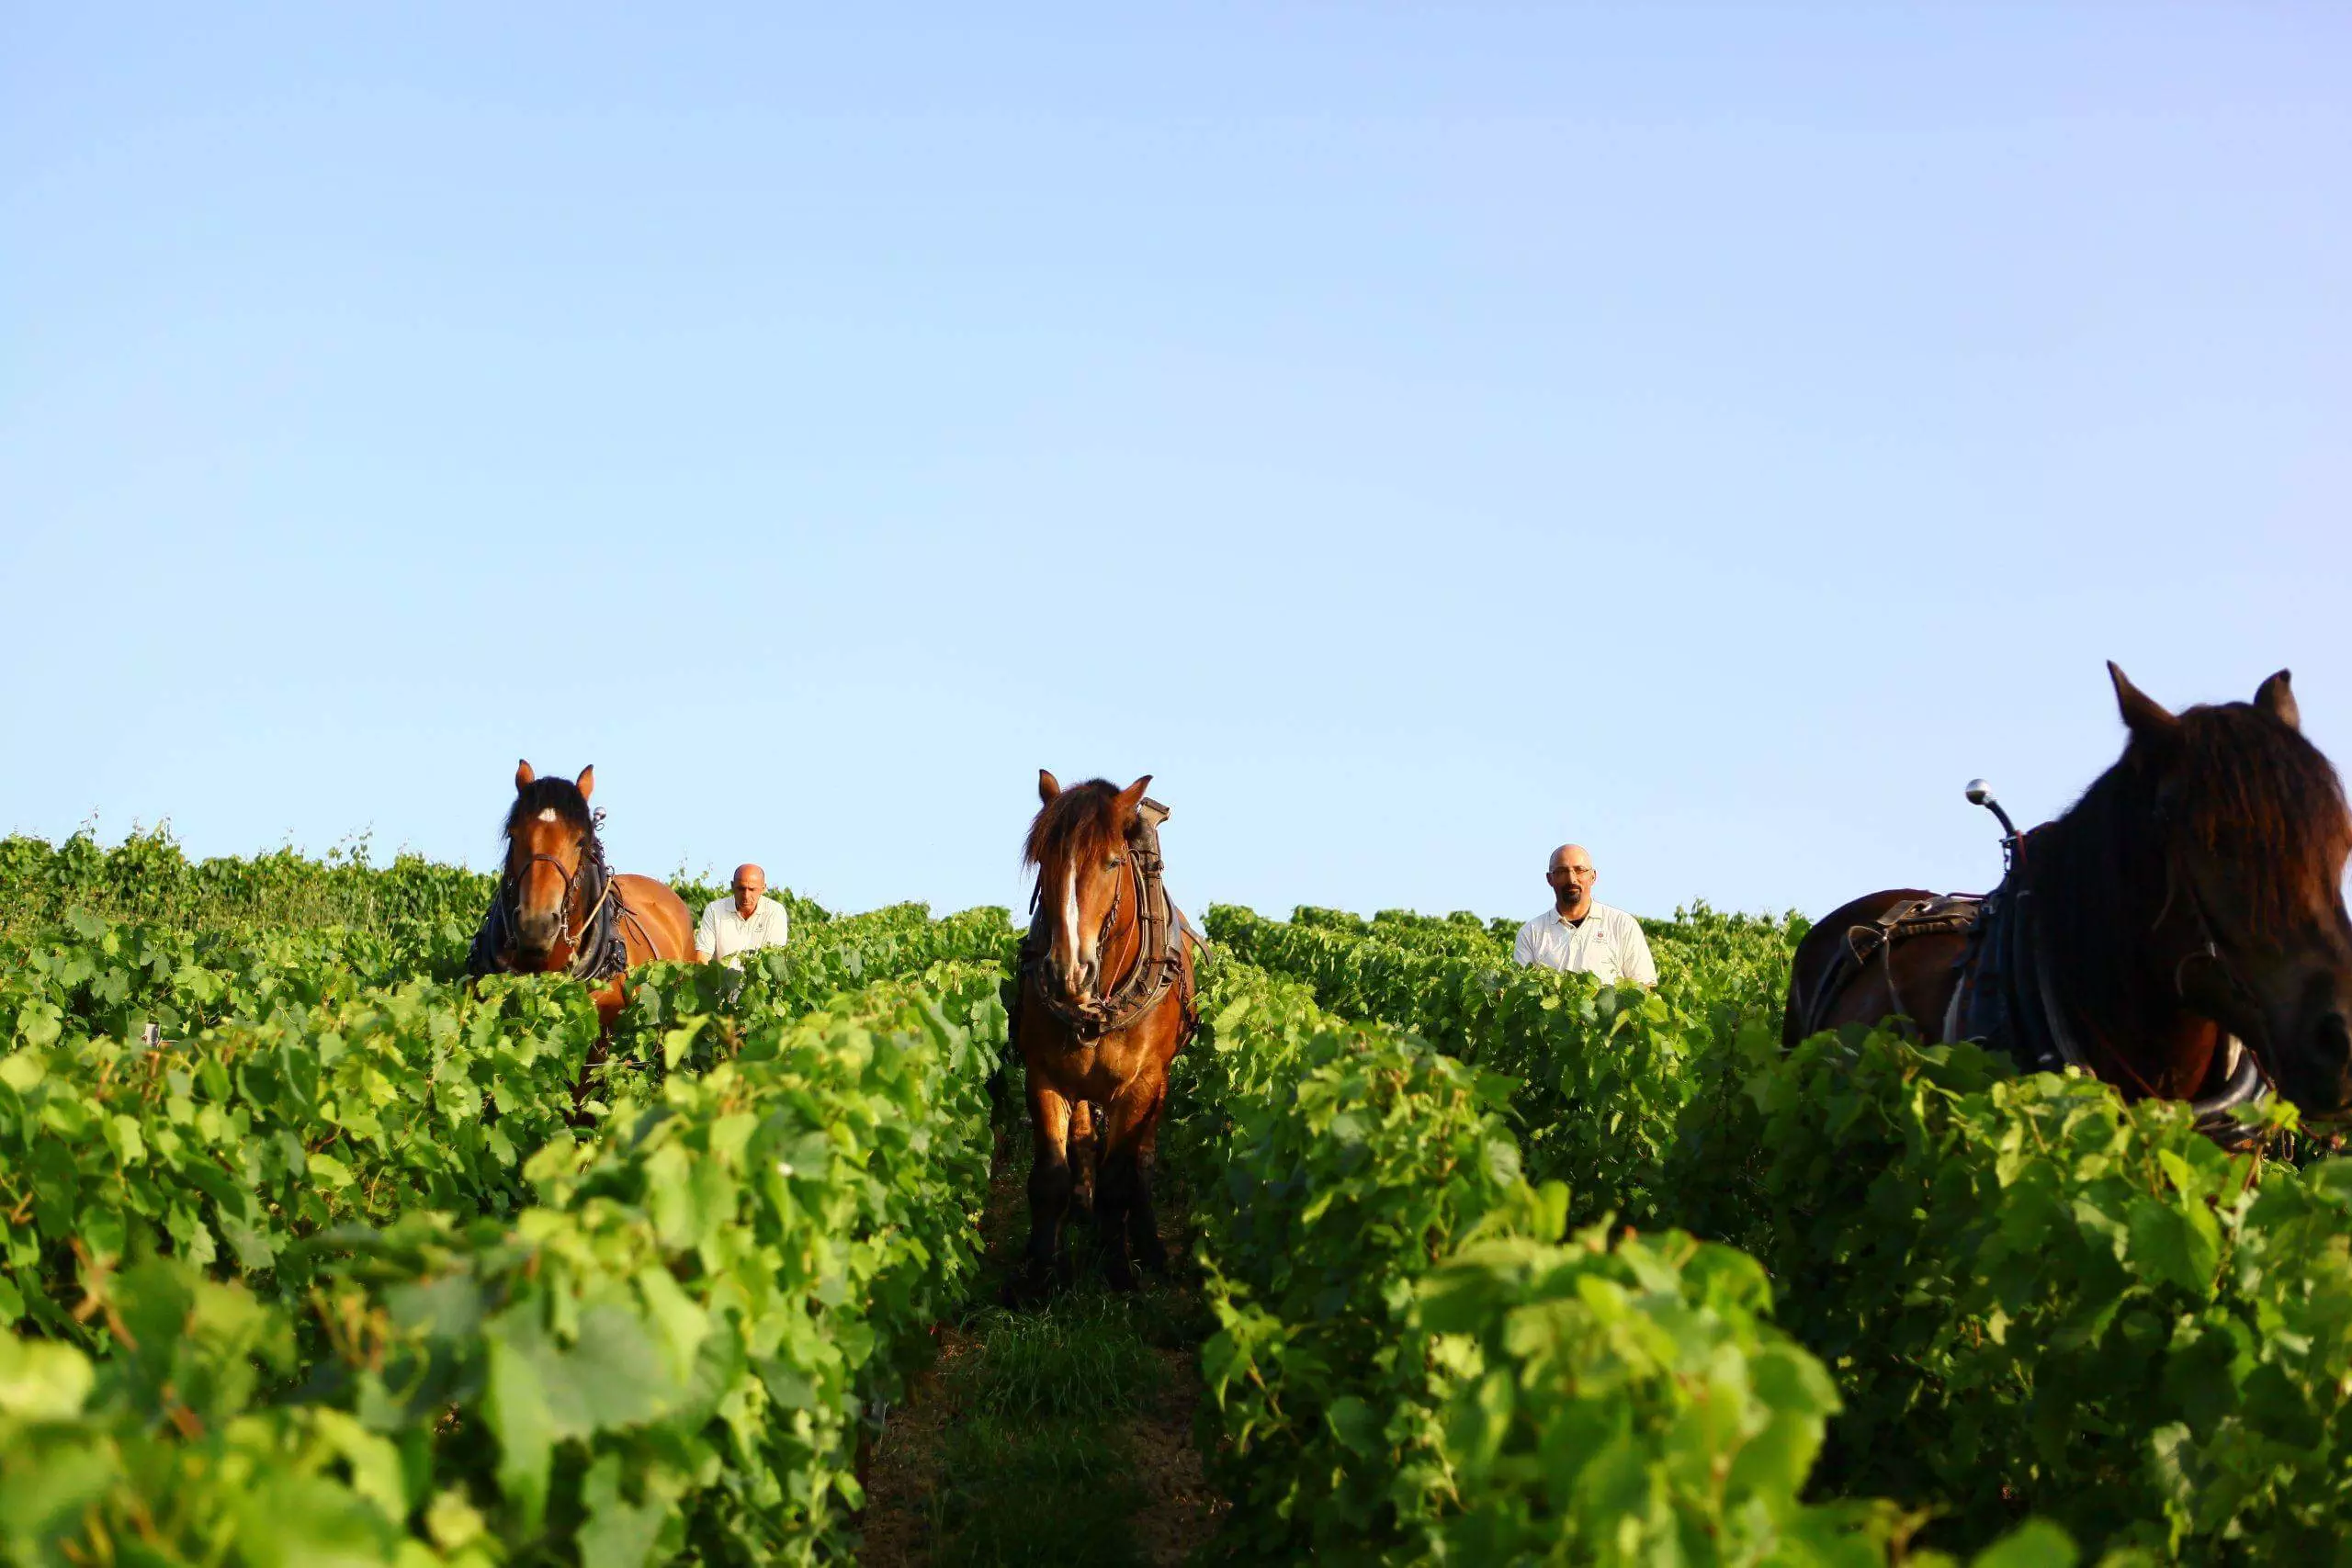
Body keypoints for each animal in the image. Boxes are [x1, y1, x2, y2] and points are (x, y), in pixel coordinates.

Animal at [1006, 771, 1194, 1297]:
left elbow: (1120, 1179)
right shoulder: (1044, 1075)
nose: (1067, 973)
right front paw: (1040, 1275)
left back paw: (1148, 1245)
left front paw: (1120, 1272)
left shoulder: (1141, 1084)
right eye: (1043, 859)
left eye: (1112, 862)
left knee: (1143, 1161)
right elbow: (1050, 1176)